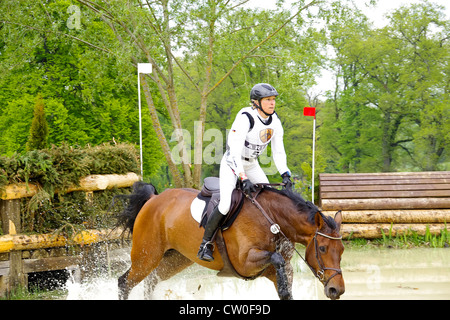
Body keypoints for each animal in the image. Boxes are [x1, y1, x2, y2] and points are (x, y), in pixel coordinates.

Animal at [116, 182, 344, 300]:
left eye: (341, 250)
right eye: (323, 248)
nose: (337, 290)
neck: (273, 218)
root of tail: (154, 199)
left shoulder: (278, 270)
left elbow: (285, 288)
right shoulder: (245, 262)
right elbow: (276, 258)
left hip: (175, 259)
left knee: (151, 281)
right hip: (146, 256)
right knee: (125, 282)